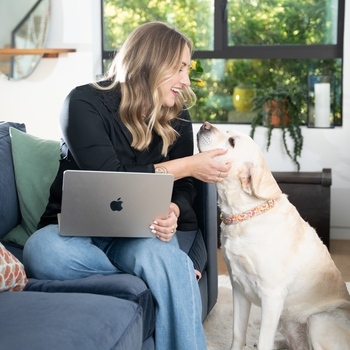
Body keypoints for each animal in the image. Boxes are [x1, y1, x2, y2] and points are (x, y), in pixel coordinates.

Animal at [197, 122, 350, 350]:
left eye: (232, 142)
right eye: (227, 132)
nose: (205, 125)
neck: (244, 213)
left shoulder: (272, 295)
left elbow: (263, 341)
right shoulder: (238, 287)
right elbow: (238, 332)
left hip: (318, 319)